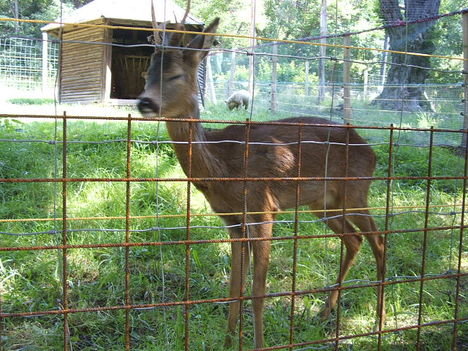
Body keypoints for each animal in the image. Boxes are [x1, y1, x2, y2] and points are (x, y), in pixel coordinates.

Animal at [135, 17, 384, 350]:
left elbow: (258, 290)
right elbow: (234, 285)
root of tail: (372, 151)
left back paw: (380, 319)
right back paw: (324, 312)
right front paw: (228, 340)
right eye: (147, 74)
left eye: (175, 75)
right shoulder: (232, 220)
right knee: (354, 239)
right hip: (323, 204)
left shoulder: (262, 208)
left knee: (378, 240)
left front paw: (257, 343)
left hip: (355, 191)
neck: (221, 168)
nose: (144, 102)